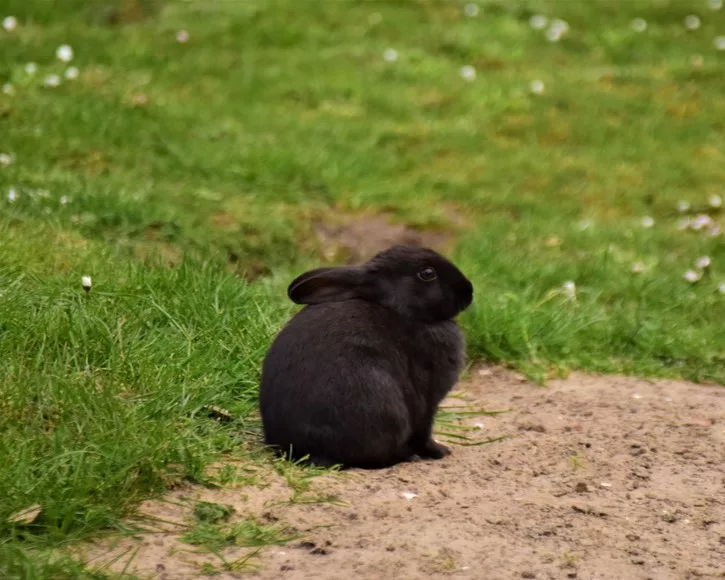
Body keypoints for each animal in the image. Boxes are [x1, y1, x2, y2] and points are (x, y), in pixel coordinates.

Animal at [259, 245, 474, 469]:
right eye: (427, 273)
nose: (469, 291)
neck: (405, 312)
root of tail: (308, 451)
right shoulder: (427, 399)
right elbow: (424, 431)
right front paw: (440, 451)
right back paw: (408, 456)